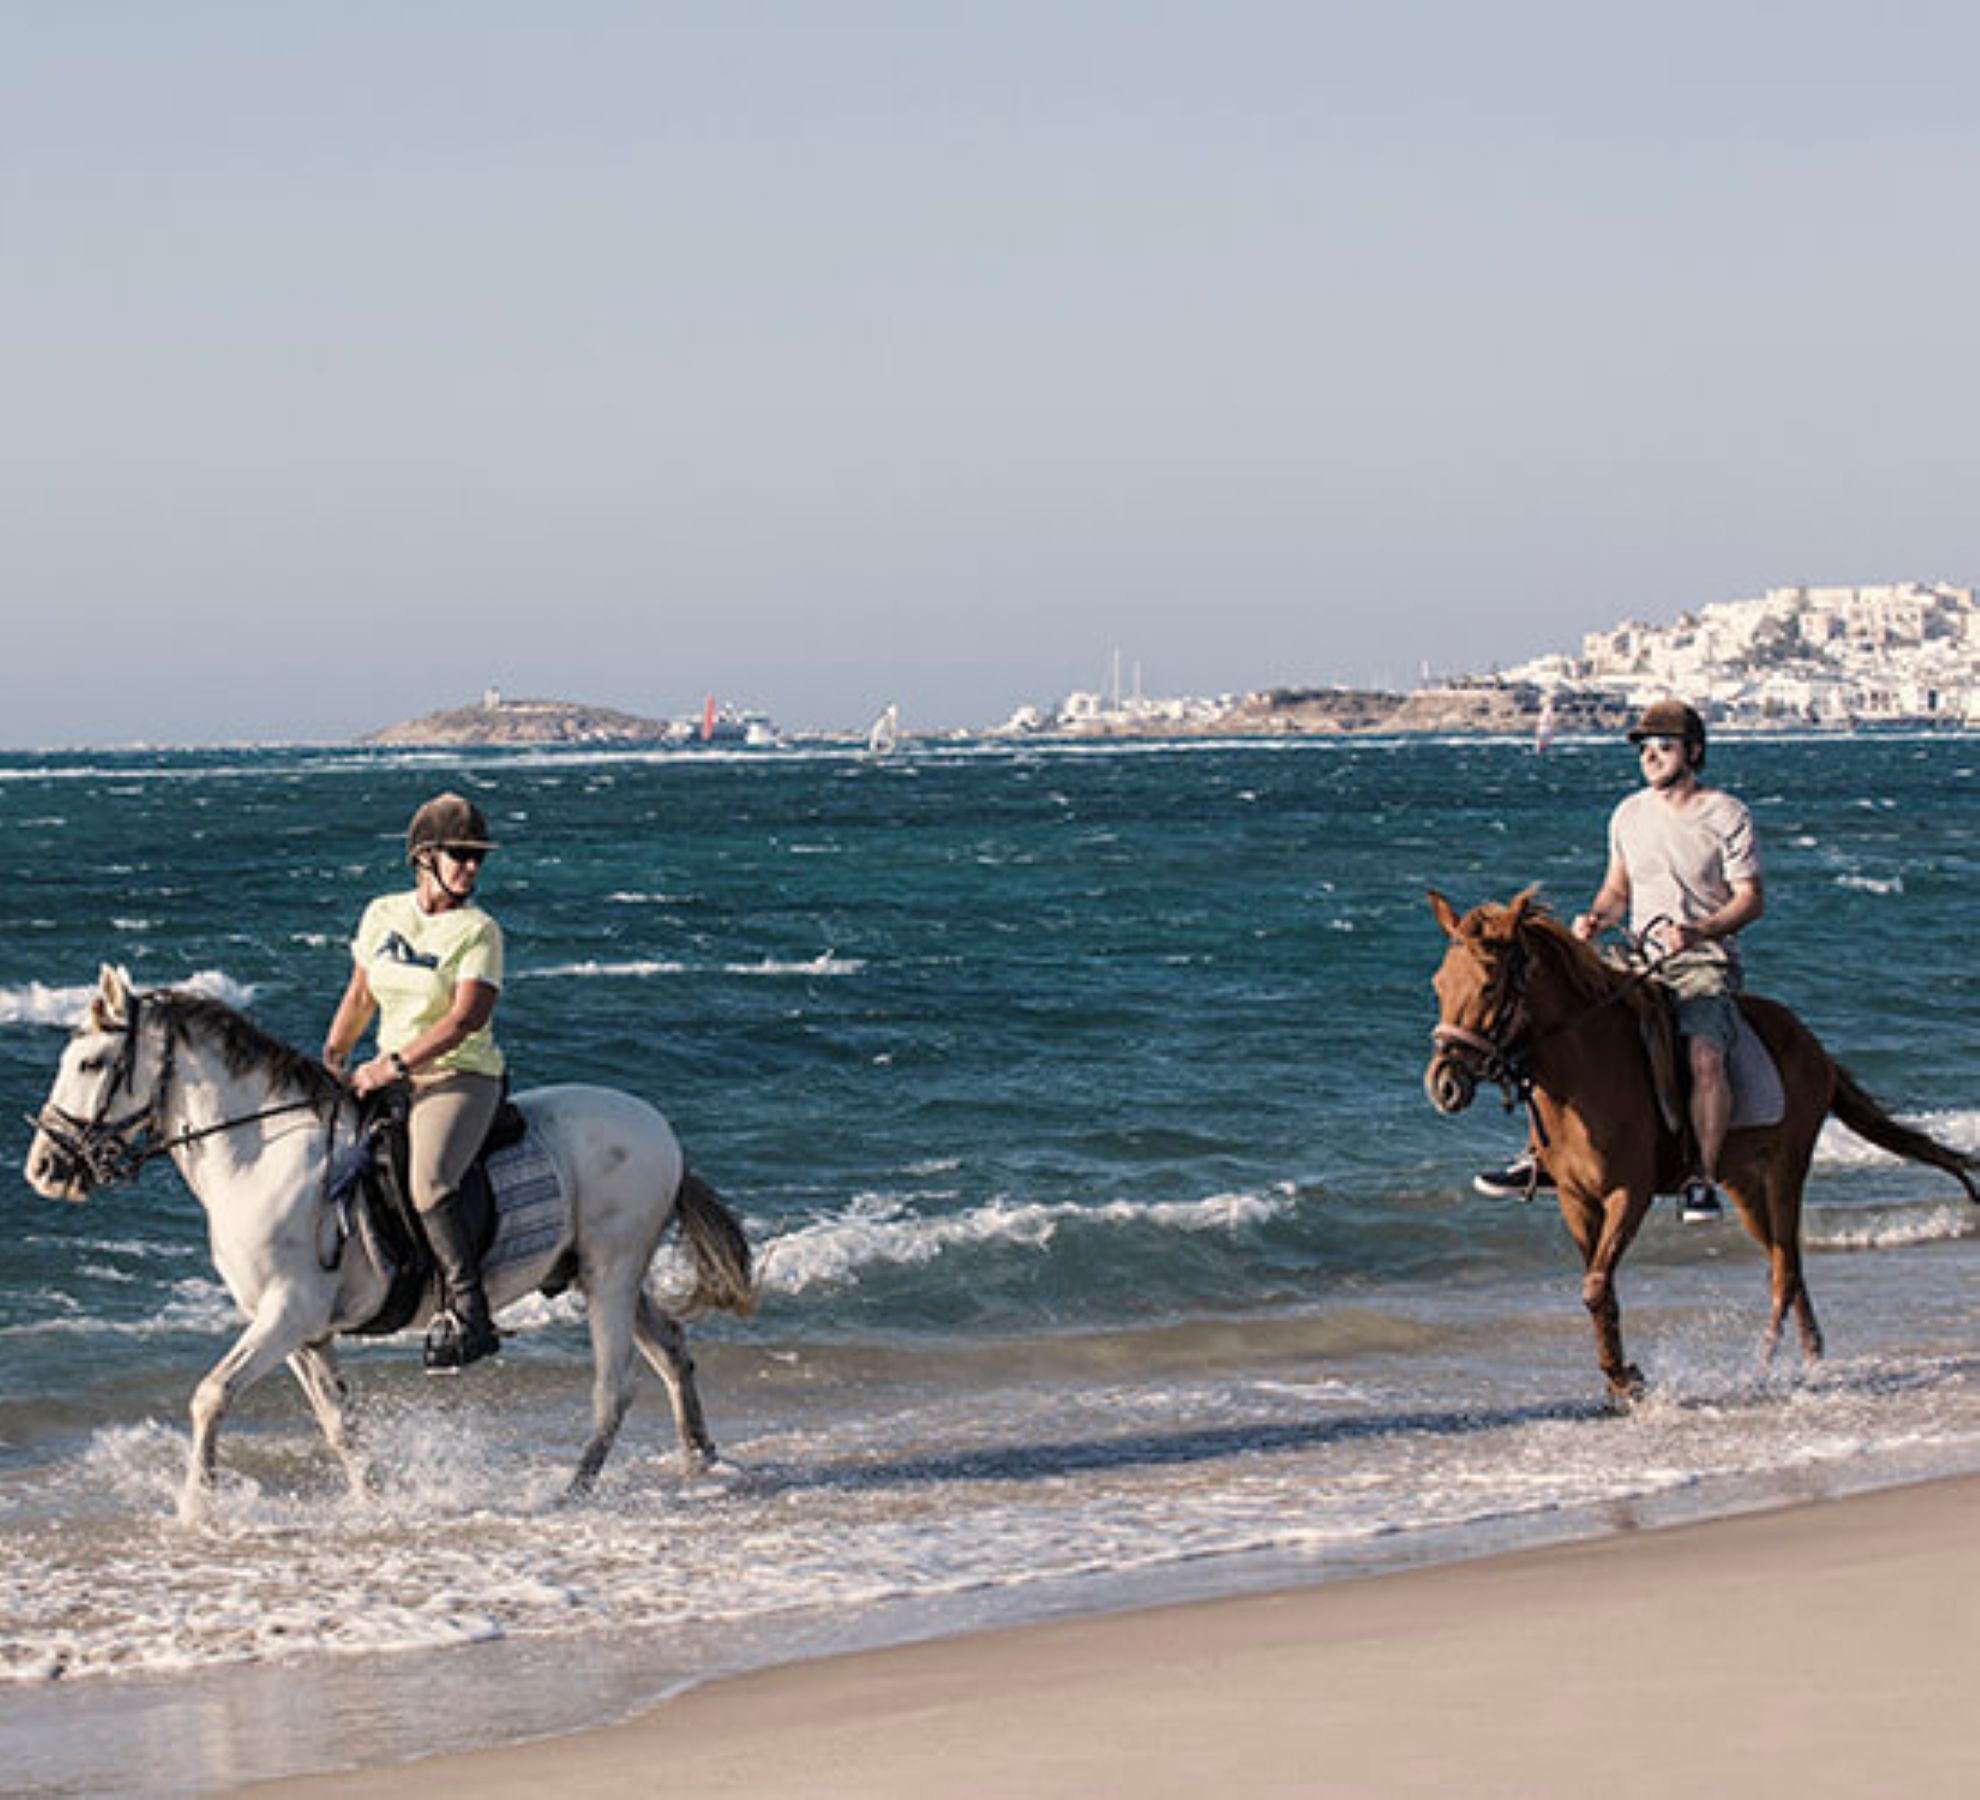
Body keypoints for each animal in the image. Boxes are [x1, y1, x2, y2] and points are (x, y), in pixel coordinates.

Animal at [25, 966, 759, 1521]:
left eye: (91, 1062)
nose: (44, 1168)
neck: (260, 1156)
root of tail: (658, 1127)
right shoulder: (300, 1330)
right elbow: (339, 1424)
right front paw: (373, 1502)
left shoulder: (285, 1313)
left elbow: (211, 1394)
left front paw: (196, 1506)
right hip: (602, 1274)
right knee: (671, 1353)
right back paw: (700, 1462)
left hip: (611, 1272)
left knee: (615, 1386)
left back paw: (571, 1492)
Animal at [1424, 890, 1979, 1403]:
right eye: (1439, 984)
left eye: (1489, 984)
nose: (1443, 1084)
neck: (1581, 1075)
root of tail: (1814, 1046)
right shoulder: (1575, 1199)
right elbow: (1600, 1289)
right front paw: (1618, 1379)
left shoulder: (1630, 1193)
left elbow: (1596, 1286)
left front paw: (1626, 1380)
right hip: (1744, 1184)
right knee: (1789, 1267)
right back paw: (1812, 1358)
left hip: (1786, 1170)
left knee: (1785, 1272)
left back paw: (1762, 1370)